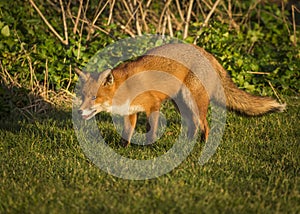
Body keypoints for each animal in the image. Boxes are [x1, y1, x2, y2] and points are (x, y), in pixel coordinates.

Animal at [75, 43, 286, 147]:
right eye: (83, 96)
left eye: (94, 98)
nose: (78, 112)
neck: (125, 88)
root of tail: (208, 54)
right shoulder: (131, 112)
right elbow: (127, 133)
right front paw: (123, 148)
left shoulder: (153, 105)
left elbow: (151, 129)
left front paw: (149, 147)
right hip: (181, 103)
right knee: (193, 124)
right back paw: (186, 144)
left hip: (192, 100)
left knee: (204, 125)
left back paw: (201, 145)